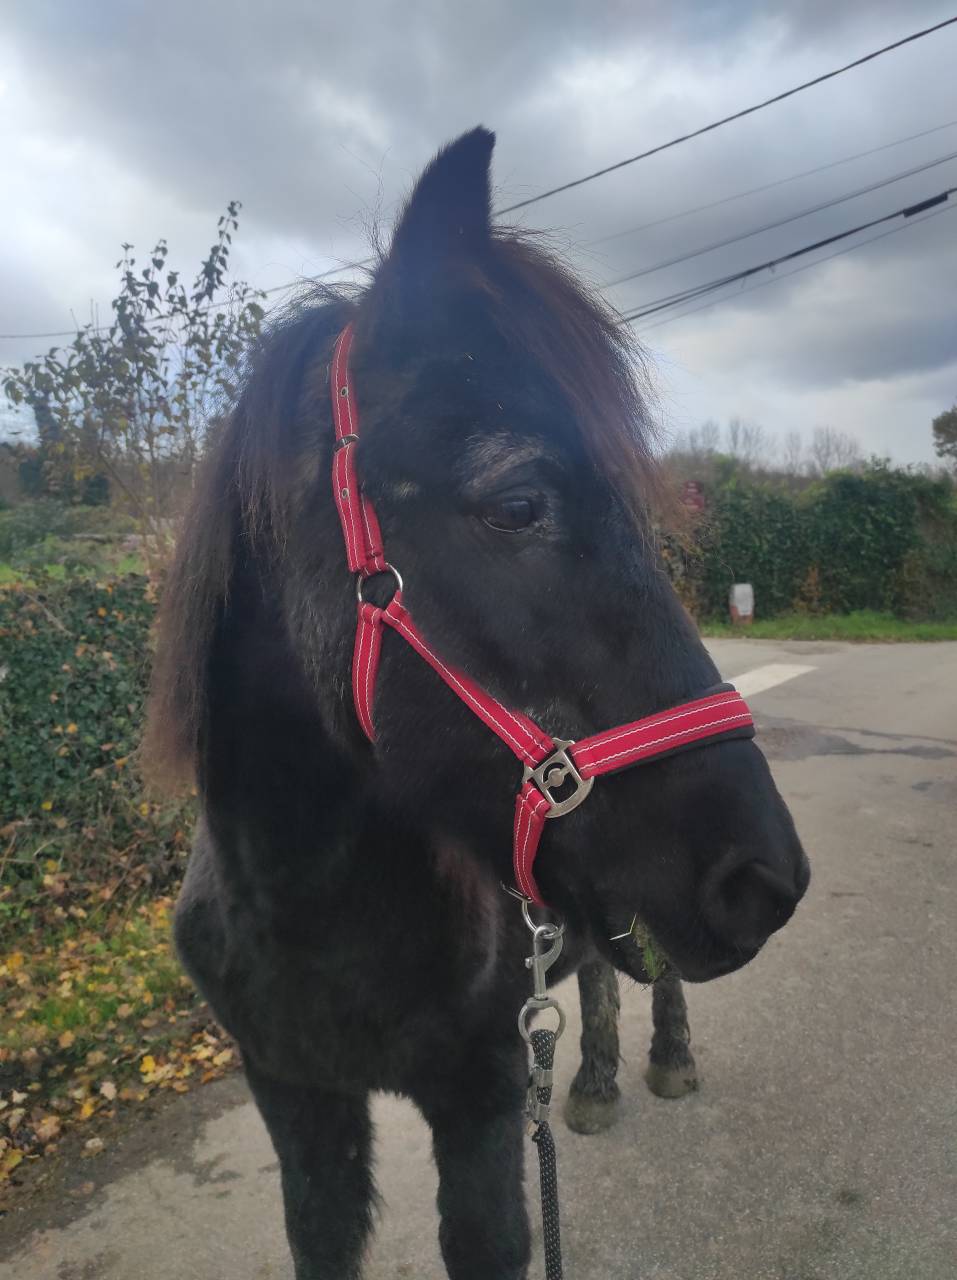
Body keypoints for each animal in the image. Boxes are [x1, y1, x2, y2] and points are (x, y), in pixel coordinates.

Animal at [145, 127, 809, 1280]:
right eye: (517, 503)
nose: (767, 879)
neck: (310, 906)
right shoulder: (300, 1105)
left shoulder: (483, 1109)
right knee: (598, 977)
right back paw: (593, 1081)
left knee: (654, 979)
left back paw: (665, 1061)